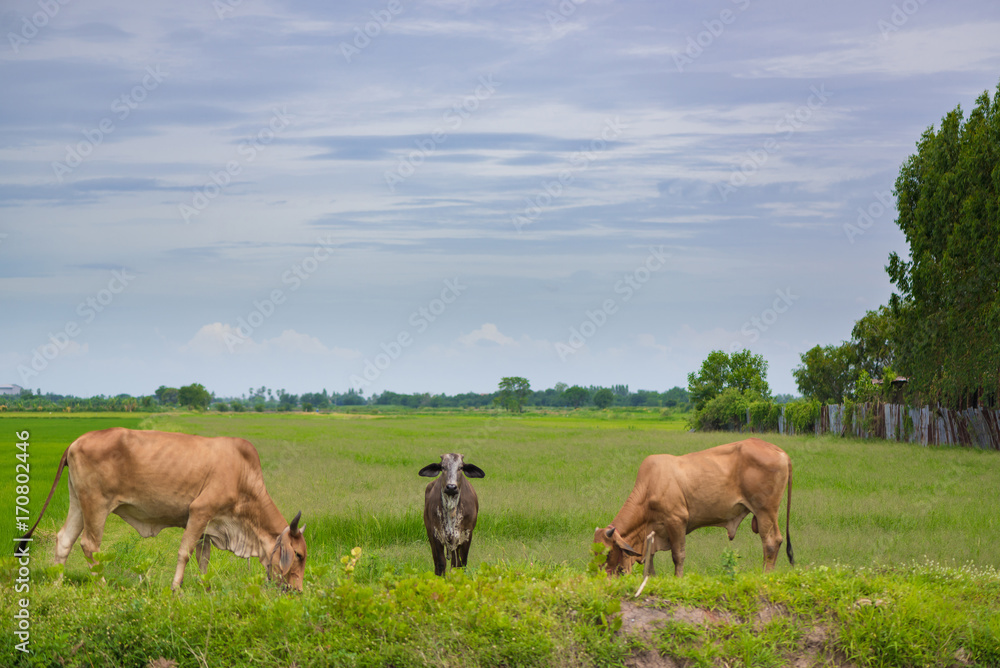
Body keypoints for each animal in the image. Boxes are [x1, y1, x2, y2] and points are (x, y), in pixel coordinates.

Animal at [19, 428, 306, 588]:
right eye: (299, 555)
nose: (298, 591)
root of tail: (76, 441)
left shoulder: (209, 526)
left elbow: (203, 559)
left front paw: (205, 588)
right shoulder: (200, 511)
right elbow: (184, 553)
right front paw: (175, 588)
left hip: (78, 502)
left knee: (64, 540)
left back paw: (57, 584)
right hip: (96, 505)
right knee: (89, 545)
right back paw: (101, 585)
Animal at [592, 438, 796, 588]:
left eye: (608, 553)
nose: (601, 580)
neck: (650, 487)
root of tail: (781, 452)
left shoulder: (676, 521)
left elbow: (678, 555)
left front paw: (678, 579)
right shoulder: (653, 533)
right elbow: (650, 560)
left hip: (765, 511)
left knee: (771, 542)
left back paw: (765, 576)